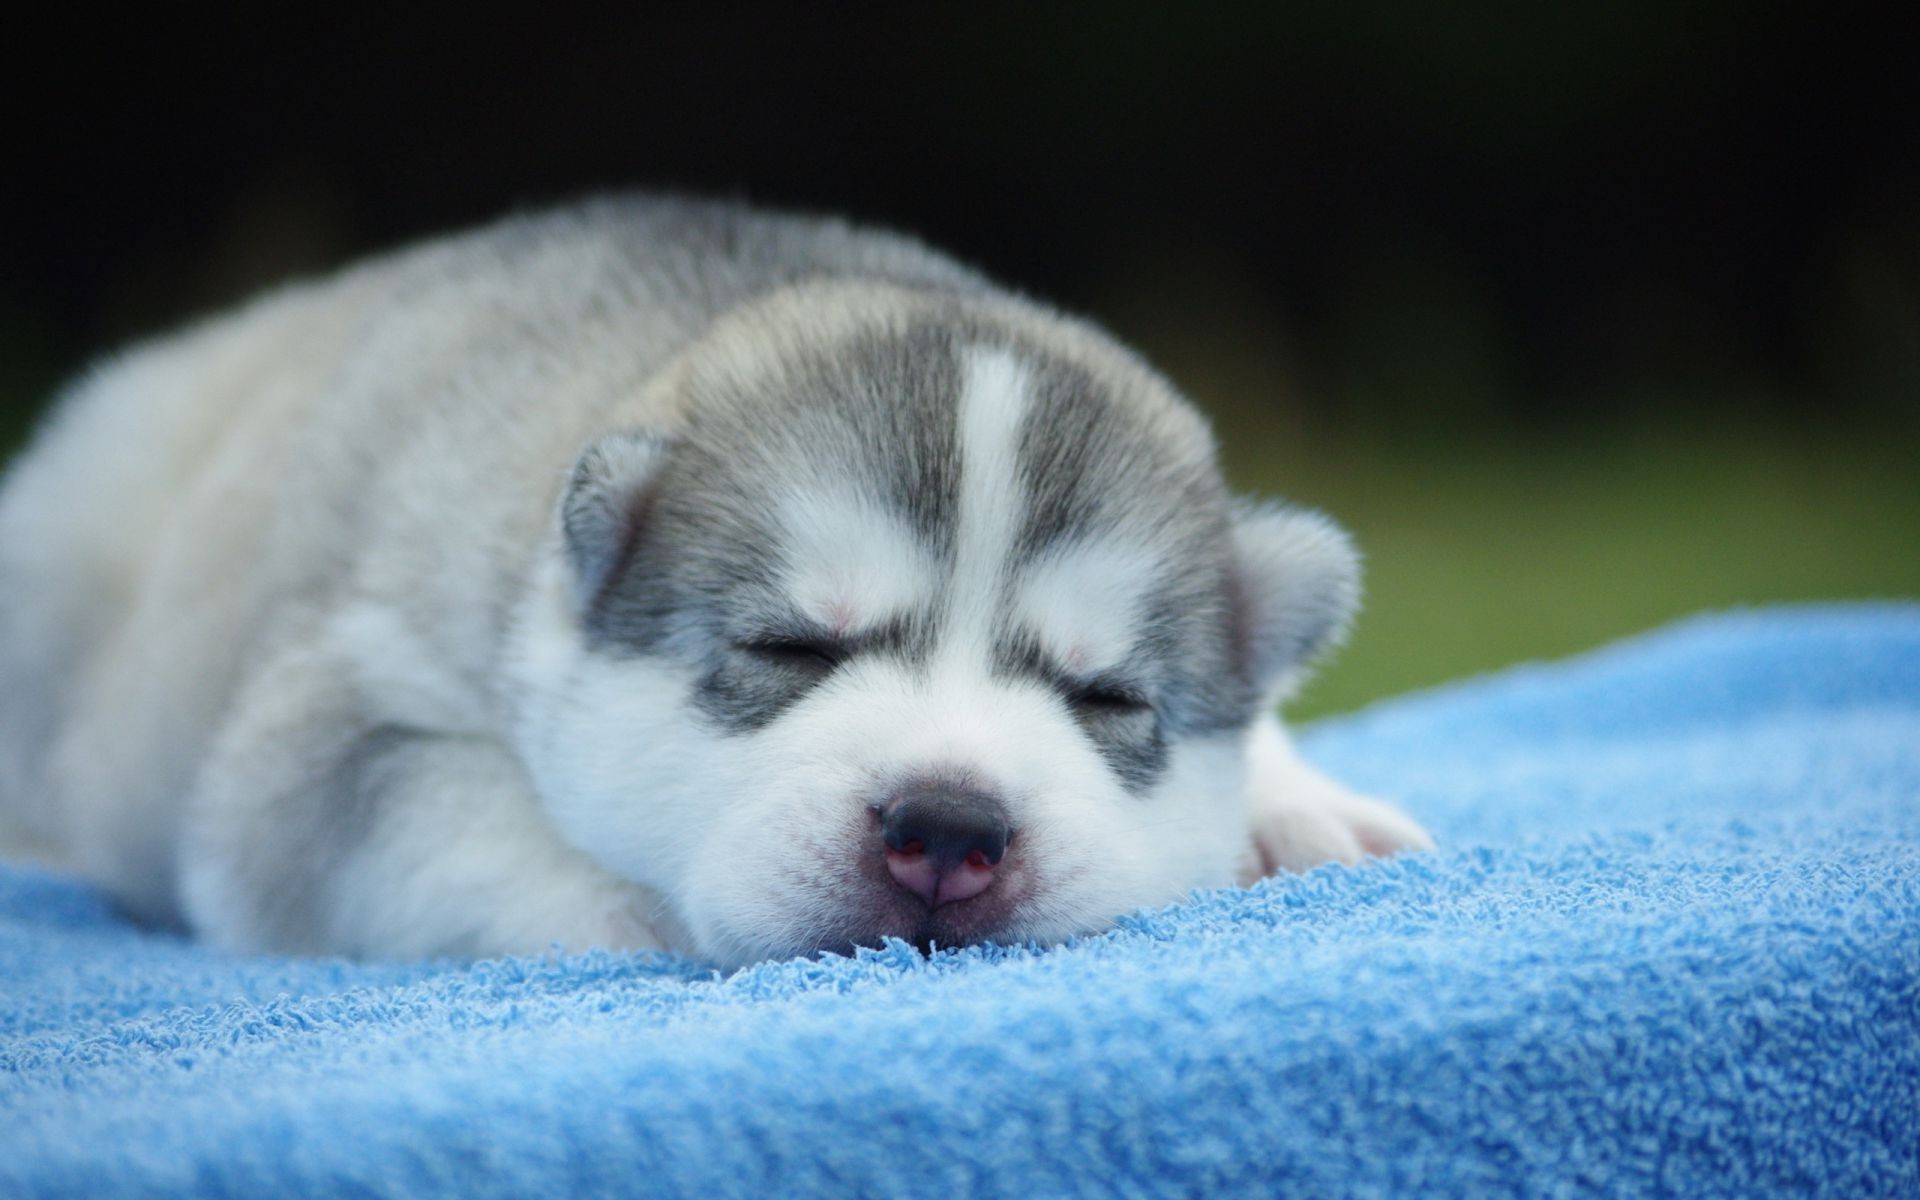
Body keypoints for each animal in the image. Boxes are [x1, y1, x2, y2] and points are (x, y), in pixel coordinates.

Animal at [0, 196, 1428, 963]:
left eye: (1109, 699)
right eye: (791, 648)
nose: (949, 829)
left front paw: (1298, 804)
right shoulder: (325, 734)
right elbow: (464, 825)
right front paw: (646, 909)